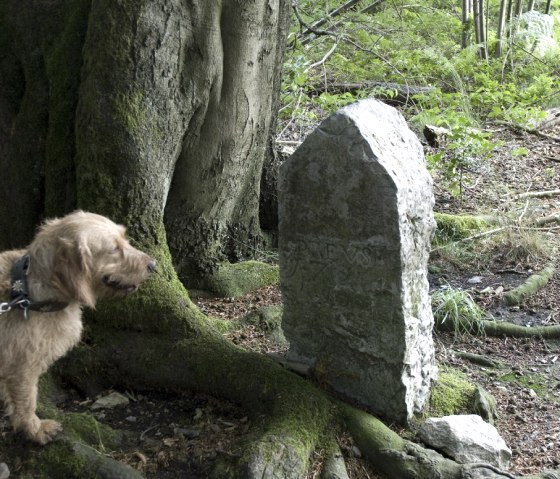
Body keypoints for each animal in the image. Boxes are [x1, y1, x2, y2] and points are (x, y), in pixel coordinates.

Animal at [0, 212, 154, 444]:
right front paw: (35, 430)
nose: (153, 264)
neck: (29, 292)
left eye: (125, 238)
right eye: (113, 249)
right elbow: (27, 401)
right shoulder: (21, 367)